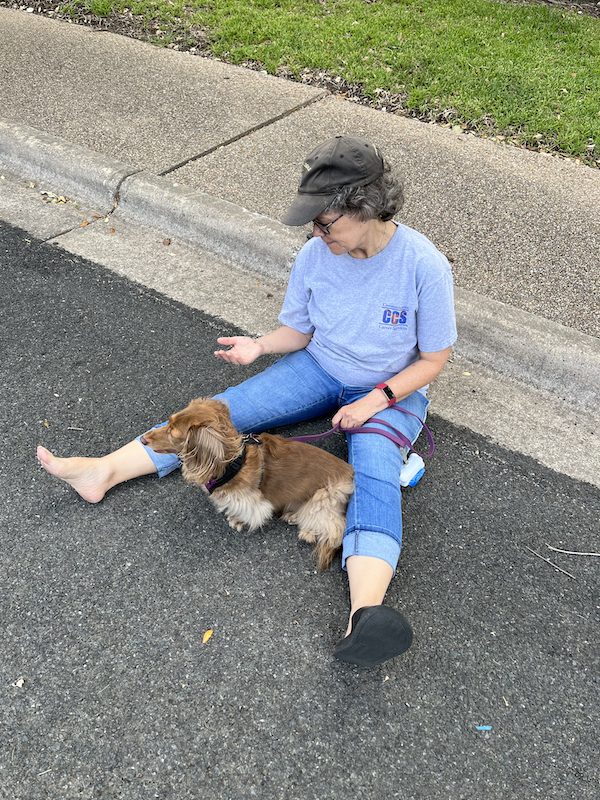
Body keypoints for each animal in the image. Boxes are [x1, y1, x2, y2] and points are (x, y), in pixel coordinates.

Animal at [141, 396, 356, 564]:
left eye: (173, 433)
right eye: (168, 422)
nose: (143, 440)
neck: (232, 463)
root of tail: (351, 472)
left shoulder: (252, 502)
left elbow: (249, 513)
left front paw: (237, 520)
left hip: (325, 496)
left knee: (336, 527)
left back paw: (309, 532)